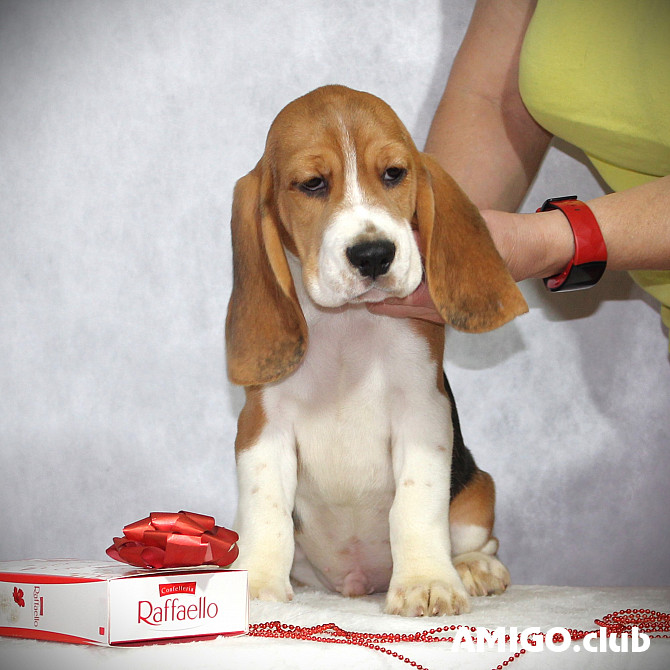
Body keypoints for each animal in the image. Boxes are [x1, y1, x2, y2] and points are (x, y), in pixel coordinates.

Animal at [227, 85, 532, 620]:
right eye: (312, 184)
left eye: (394, 173)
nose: (373, 255)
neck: (347, 324)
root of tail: (356, 582)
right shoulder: (261, 425)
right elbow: (266, 510)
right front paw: (256, 581)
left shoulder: (424, 415)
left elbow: (414, 505)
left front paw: (427, 582)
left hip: (478, 490)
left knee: (478, 538)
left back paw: (474, 568)